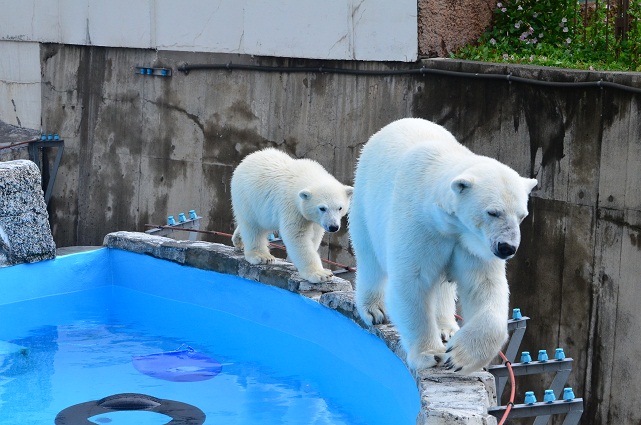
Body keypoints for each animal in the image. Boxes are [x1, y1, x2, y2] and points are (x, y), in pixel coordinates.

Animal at [230, 147, 352, 284]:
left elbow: (314, 235)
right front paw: (321, 274)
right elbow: (297, 236)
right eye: (322, 208)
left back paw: (238, 240)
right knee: (253, 227)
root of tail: (247, 158)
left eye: (340, 208)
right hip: (248, 198)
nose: (333, 227)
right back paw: (261, 256)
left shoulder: (315, 218)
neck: (304, 176)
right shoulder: (292, 207)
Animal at [350, 117, 536, 372]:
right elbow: (412, 280)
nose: (507, 248)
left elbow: (484, 286)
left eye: (522, 216)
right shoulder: (419, 225)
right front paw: (430, 354)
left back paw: (446, 327)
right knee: (368, 254)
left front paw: (460, 356)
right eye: (493, 212)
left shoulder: (472, 244)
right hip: (365, 195)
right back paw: (373, 309)